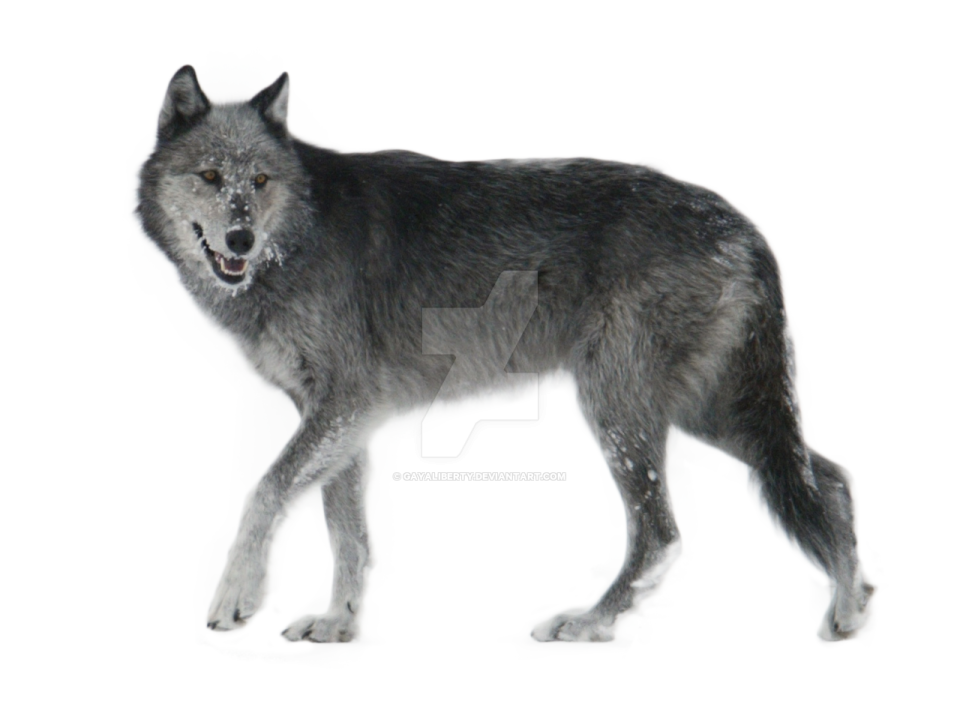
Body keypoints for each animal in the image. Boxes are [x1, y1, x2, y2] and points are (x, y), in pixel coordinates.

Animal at [134, 64, 878, 645]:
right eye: (210, 176)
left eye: (259, 182)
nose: (240, 240)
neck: (302, 233)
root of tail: (745, 223)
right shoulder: (340, 413)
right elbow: (345, 527)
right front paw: (339, 622)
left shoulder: (346, 400)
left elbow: (267, 491)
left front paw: (236, 598)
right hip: (711, 412)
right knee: (831, 475)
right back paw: (852, 613)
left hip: (620, 406)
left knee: (663, 533)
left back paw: (586, 627)